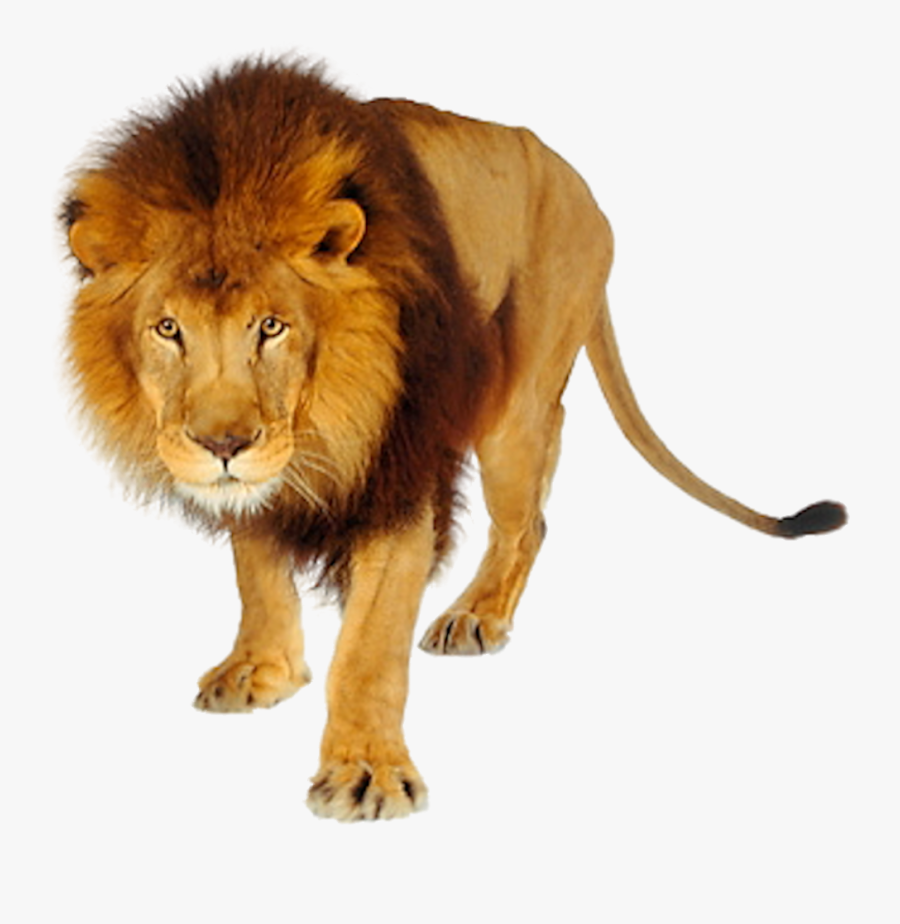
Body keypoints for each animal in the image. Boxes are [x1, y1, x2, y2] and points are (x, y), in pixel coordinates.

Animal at [62, 59, 845, 821]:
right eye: (168, 329)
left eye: (272, 326)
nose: (222, 444)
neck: (325, 414)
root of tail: (578, 182)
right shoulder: (267, 478)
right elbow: (255, 570)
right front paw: (262, 668)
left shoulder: (404, 471)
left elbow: (368, 649)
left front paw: (368, 772)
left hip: (513, 405)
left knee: (530, 514)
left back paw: (477, 615)